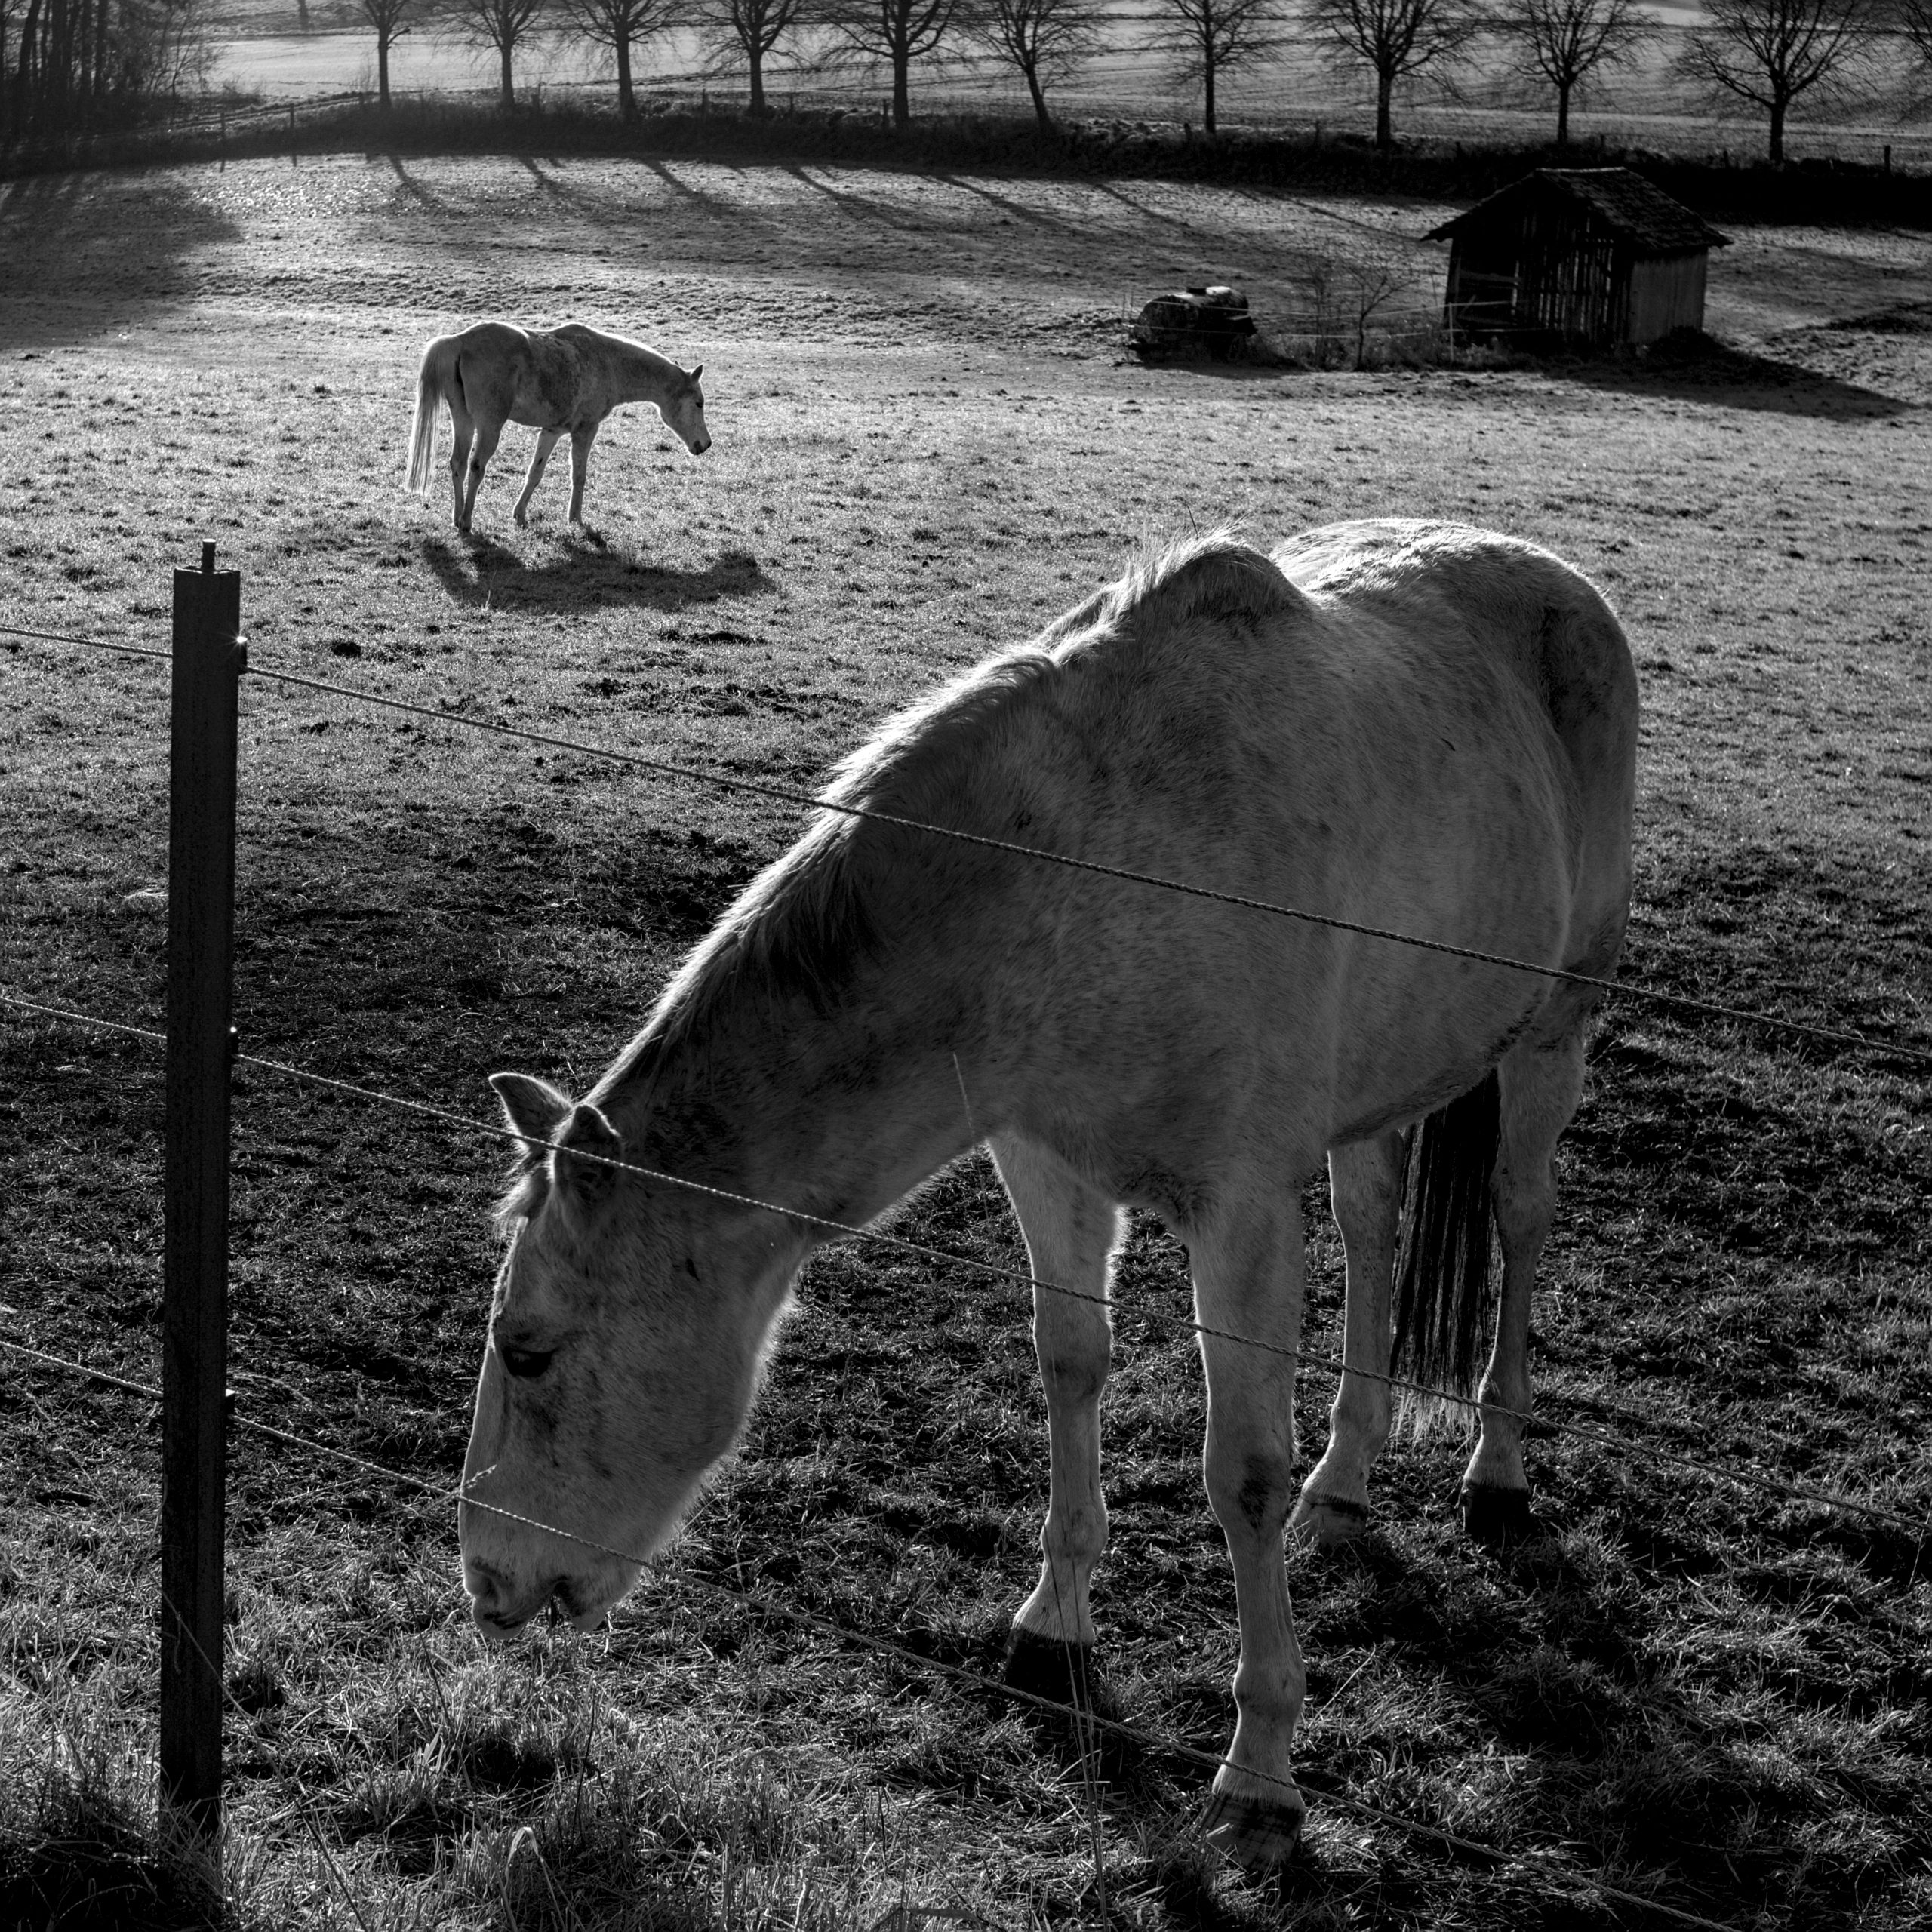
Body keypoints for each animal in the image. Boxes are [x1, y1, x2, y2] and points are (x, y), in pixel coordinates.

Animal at [404, 321, 710, 534]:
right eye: (699, 403)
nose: (705, 444)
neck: (606, 362)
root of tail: (461, 340)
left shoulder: (552, 432)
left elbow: (534, 474)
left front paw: (519, 515)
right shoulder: (585, 431)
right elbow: (579, 476)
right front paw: (575, 519)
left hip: (464, 420)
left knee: (458, 463)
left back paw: (457, 519)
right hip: (490, 425)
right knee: (477, 466)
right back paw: (467, 521)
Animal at [458, 521, 1638, 1872]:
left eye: (528, 1350)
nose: (486, 1579)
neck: (1073, 876)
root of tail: (1553, 577)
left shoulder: (1240, 1209)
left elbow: (1241, 1472)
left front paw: (1260, 1776)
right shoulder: (1045, 1157)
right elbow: (1070, 1361)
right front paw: (1054, 1623)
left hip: (1553, 1031)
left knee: (1519, 1218)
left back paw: (1497, 1468)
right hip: (1389, 1084)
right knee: (1376, 1227)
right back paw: (1346, 1483)